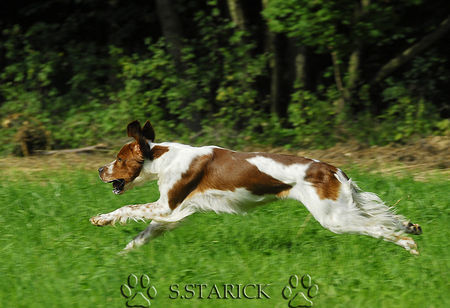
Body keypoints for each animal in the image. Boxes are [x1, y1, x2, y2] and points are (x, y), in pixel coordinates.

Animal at [90, 121, 422, 254]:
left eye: (119, 159)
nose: (100, 170)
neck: (163, 158)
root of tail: (331, 169)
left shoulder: (167, 205)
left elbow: (126, 208)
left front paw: (101, 219)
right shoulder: (173, 213)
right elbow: (141, 235)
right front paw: (119, 258)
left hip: (334, 217)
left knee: (378, 227)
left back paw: (409, 244)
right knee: (385, 220)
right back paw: (411, 227)